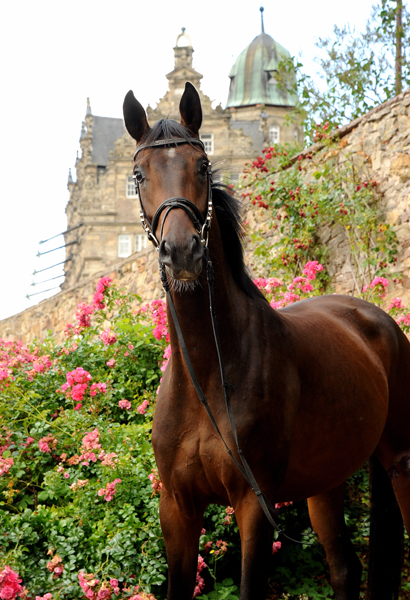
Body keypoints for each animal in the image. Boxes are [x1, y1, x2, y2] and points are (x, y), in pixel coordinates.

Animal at [123, 81, 410, 600]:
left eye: (202, 165)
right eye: (138, 174)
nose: (183, 253)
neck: (211, 372)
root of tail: (378, 319)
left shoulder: (254, 506)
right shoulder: (177, 508)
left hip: (401, 460)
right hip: (325, 480)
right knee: (343, 568)